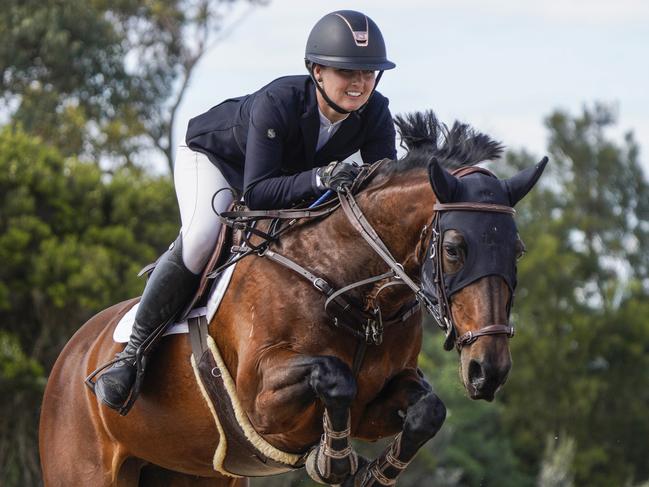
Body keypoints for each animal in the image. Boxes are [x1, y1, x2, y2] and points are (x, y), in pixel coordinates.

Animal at [39, 112, 548, 486]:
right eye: (455, 248)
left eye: (518, 250)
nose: (488, 370)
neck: (355, 292)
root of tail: (70, 355)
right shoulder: (259, 401)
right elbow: (336, 376)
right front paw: (334, 460)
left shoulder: (377, 406)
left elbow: (429, 410)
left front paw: (373, 472)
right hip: (86, 469)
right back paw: (117, 378)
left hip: (190, 473)